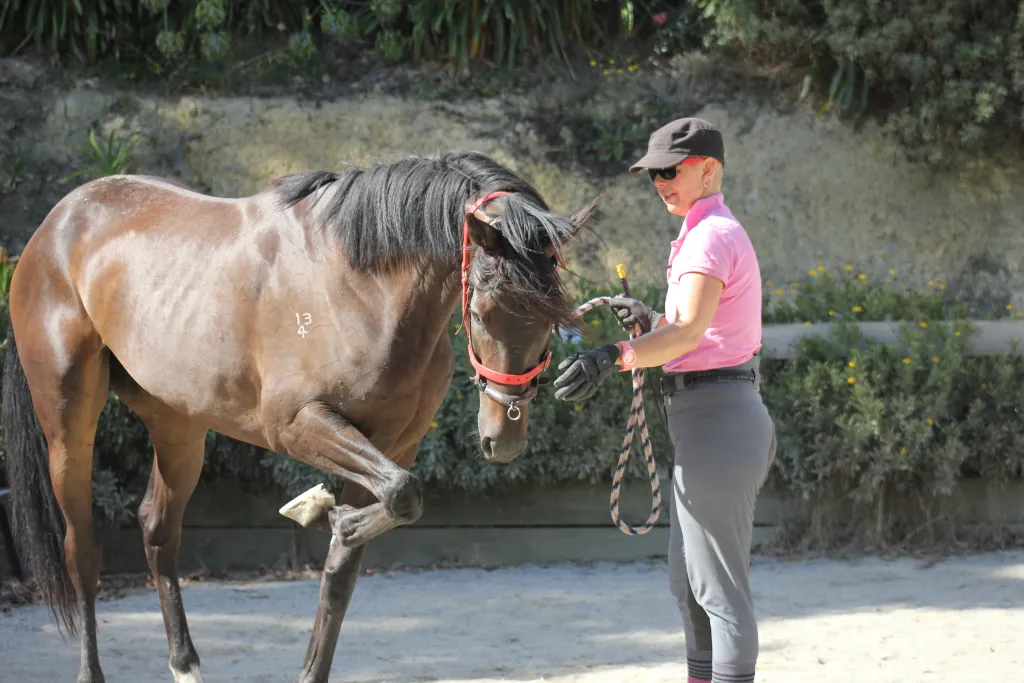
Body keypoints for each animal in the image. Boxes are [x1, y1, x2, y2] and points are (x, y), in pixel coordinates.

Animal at [0, 150, 598, 683]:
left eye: (554, 319)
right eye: (480, 311)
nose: (505, 436)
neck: (357, 288)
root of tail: (58, 221)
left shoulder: (393, 442)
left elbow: (353, 557)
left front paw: (333, 520)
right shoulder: (295, 425)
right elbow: (402, 493)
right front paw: (331, 514)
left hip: (179, 425)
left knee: (157, 529)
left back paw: (186, 665)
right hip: (68, 426)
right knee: (82, 550)